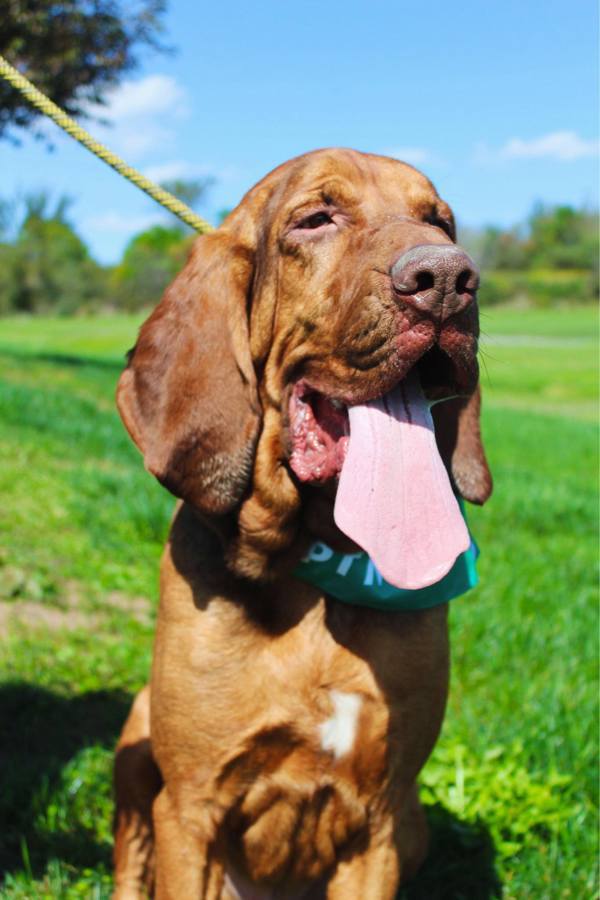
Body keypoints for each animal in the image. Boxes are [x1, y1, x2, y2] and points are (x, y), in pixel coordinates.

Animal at [111, 151, 492, 896]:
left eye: (439, 221)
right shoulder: (190, 808)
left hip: (415, 825)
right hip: (135, 742)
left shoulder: (381, 819)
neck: (315, 569)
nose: (447, 280)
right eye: (316, 219)